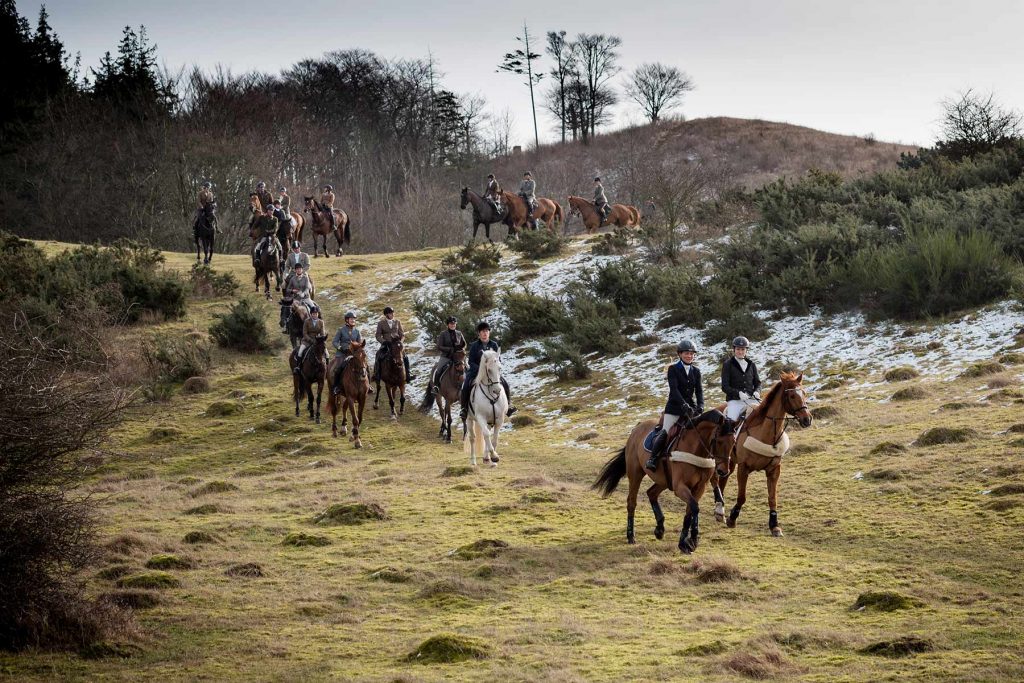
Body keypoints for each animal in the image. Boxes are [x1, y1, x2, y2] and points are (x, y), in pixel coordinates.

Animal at [593, 411, 737, 557]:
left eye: (734, 442)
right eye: (718, 441)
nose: (723, 471)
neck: (697, 450)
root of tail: (636, 429)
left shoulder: (699, 487)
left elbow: (690, 510)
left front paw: (686, 542)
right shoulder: (680, 487)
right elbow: (695, 508)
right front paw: (691, 540)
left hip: (664, 480)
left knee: (651, 493)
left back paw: (659, 529)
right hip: (636, 474)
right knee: (632, 502)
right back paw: (631, 536)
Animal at [716, 370, 811, 536]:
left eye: (804, 393)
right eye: (792, 396)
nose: (807, 419)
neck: (765, 434)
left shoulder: (774, 470)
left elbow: (772, 498)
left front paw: (774, 525)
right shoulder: (743, 468)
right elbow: (742, 497)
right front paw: (732, 518)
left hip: (729, 462)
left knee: (723, 479)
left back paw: (720, 511)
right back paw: (719, 510)